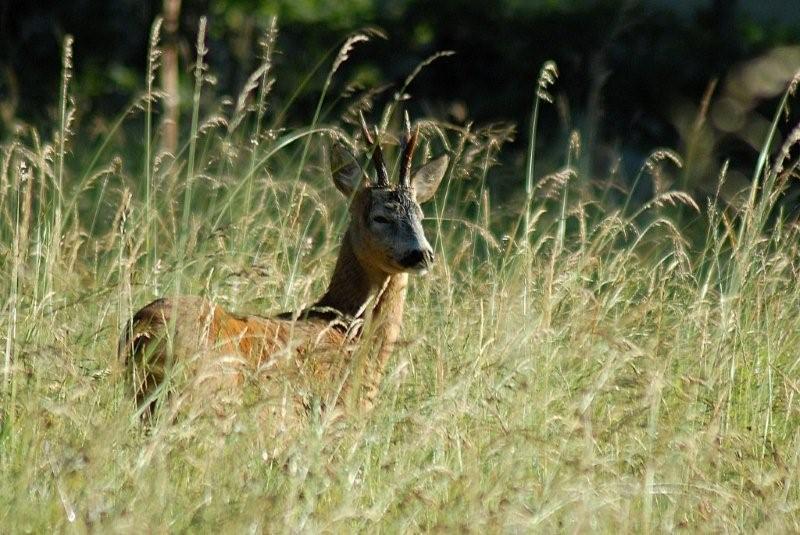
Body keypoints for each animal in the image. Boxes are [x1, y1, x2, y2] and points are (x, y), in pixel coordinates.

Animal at [117, 117, 450, 418]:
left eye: (421, 216)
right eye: (381, 216)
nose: (422, 254)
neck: (347, 330)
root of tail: (141, 329)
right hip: (202, 397)